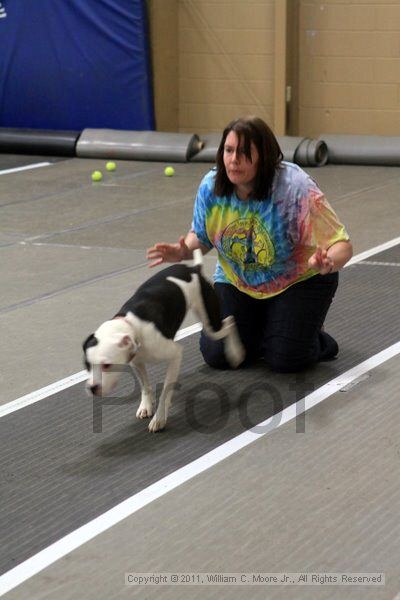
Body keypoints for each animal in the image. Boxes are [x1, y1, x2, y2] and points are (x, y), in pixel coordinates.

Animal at [82, 251, 244, 434]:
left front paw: (159, 417)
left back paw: (235, 353)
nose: (92, 388)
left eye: (107, 365)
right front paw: (146, 406)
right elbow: (145, 385)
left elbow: (166, 389)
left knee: (230, 321)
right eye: (86, 365)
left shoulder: (175, 355)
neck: (132, 326)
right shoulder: (136, 362)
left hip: (211, 324)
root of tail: (193, 269)